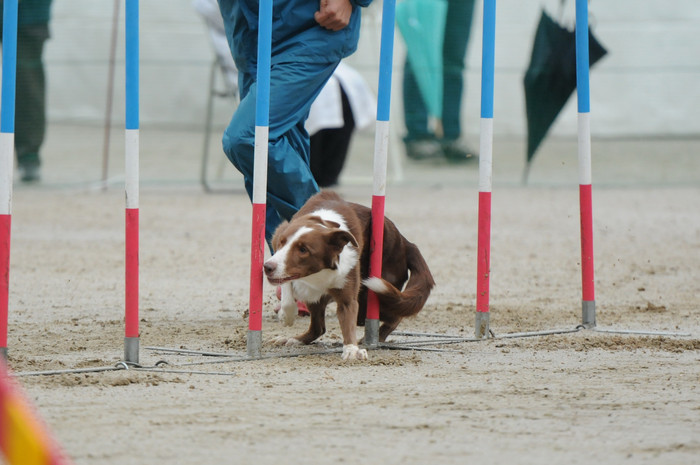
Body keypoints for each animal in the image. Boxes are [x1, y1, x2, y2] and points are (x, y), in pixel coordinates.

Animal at [266, 190, 434, 360]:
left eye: (303, 250)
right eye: (282, 243)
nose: (267, 267)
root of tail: (407, 244)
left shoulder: (347, 295)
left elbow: (348, 321)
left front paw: (352, 349)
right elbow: (286, 287)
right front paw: (286, 315)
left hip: (373, 296)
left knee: (395, 315)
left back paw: (374, 338)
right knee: (318, 327)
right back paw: (295, 339)